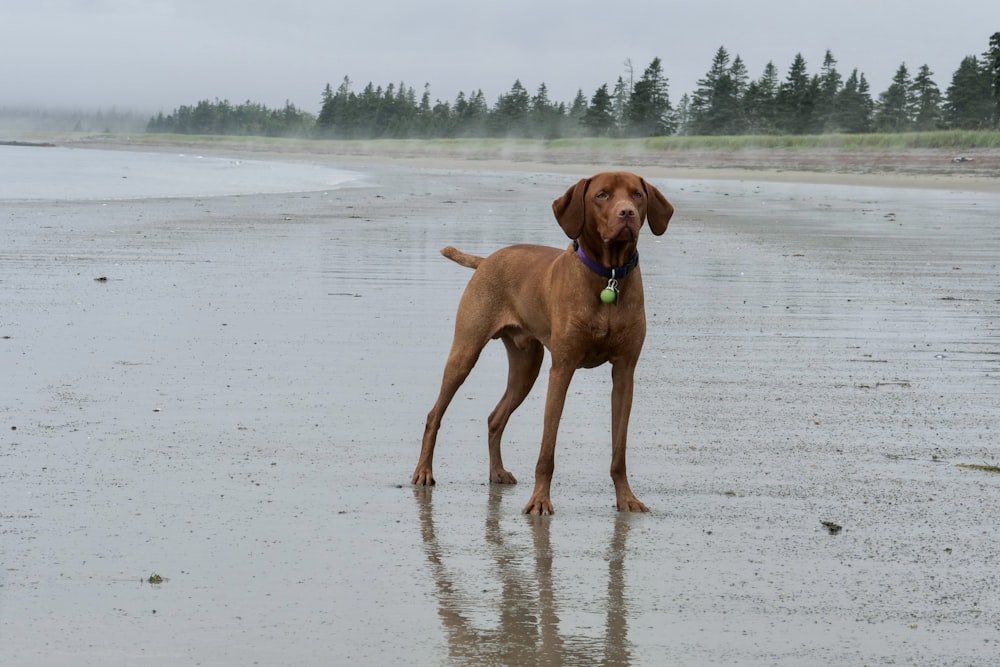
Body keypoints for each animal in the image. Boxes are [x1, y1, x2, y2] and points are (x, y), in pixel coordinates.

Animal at [410, 172, 676, 516]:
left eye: (637, 195)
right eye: (602, 195)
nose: (627, 213)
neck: (609, 276)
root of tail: (487, 259)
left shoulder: (625, 372)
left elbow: (619, 451)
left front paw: (626, 498)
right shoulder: (562, 369)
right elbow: (547, 450)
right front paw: (539, 501)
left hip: (526, 367)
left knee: (495, 418)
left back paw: (496, 471)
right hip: (465, 352)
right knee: (435, 414)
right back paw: (423, 472)